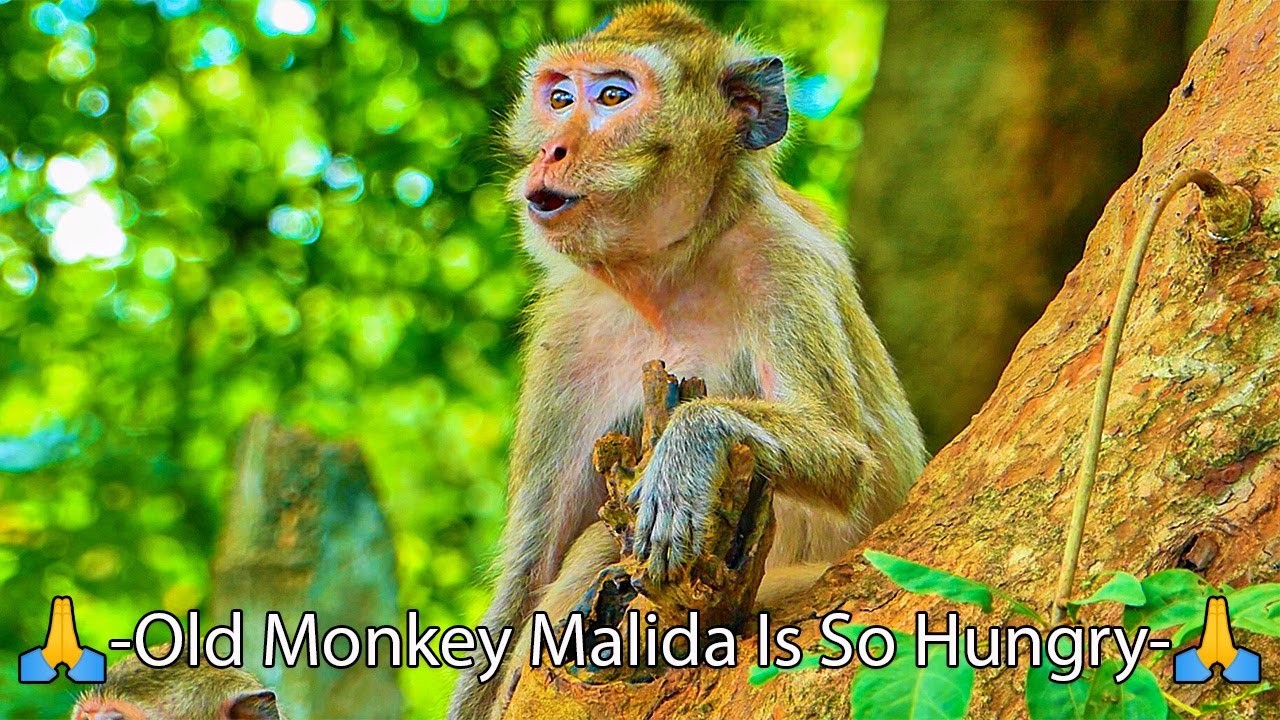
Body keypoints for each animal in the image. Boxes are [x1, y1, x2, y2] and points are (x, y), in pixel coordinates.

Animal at [448, 3, 928, 718]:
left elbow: (846, 456)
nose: (551, 149)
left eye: (612, 97)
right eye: (559, 99)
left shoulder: (785, 261)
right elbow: (529, 573)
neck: (666, 274)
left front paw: (690, 446)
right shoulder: (566, 330)